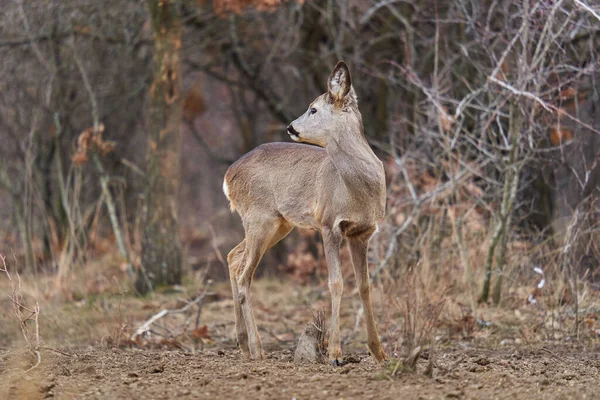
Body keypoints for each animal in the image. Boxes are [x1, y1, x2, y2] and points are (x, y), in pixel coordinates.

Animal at [223, 60, 386, 366]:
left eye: (313, 109)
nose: (290, 126)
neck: (358, 191)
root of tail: (228, 176)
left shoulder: (363, 232)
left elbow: (365, 286)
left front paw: (379, 352)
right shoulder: (329, 224)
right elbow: (336, 282)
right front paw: (335, 354)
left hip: (279, 224)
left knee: (233, 258)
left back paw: (242, 344)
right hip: (259, 218)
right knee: (244, 274)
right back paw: (257, 349)